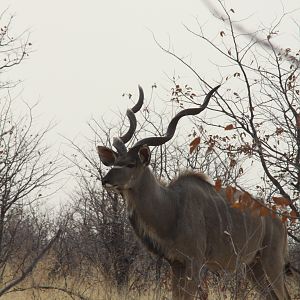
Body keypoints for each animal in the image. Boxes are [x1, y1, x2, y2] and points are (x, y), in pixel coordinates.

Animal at [98, 85, 290, 298]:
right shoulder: (176, 263)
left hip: (271, 261)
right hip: (253, 267)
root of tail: (279, 220)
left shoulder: (194, 261)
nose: (105, 180)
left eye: (131, 164)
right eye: (115, 162)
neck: (171, 206)